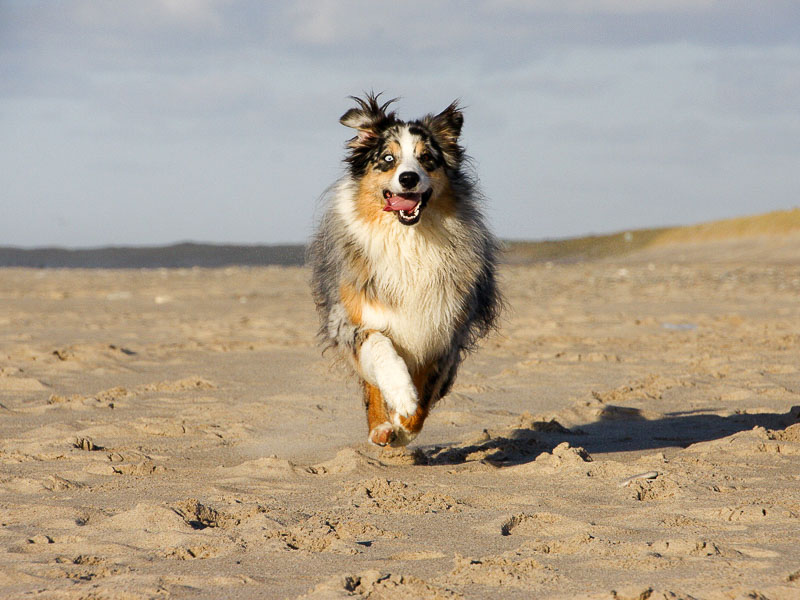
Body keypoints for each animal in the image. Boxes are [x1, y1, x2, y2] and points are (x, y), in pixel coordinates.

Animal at [308, 94, 500, 448]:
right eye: (388, 158)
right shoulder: (354, 319)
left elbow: (426, 395)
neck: (408, 241)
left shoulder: (442, 333)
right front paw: (400, 397)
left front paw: (405, 424)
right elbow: (382, 351)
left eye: (426, 159)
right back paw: (380, 428)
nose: (408, 178)